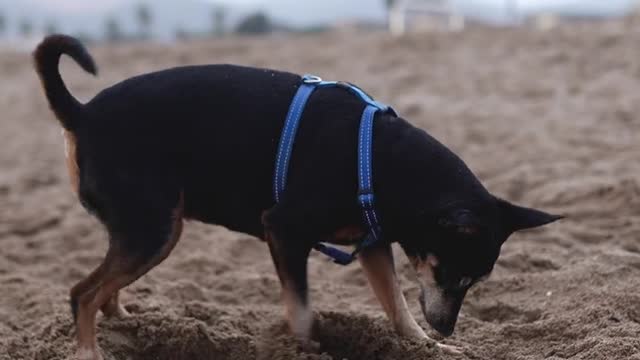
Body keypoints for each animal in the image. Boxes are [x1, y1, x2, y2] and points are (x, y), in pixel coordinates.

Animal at [33, 34, 560, 360]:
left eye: (475, 282)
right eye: (452, 274)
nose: (448, 328)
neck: (380, 161)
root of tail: (81, 114)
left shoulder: (373, 246)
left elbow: (398, 308)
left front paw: (427, 348)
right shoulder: (284, 232)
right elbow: (303, 313)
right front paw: (307, 349)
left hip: (147, 228)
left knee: (106, 288)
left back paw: (129, 325)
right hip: (157, 229)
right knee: (82, 293)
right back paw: (90, 350)